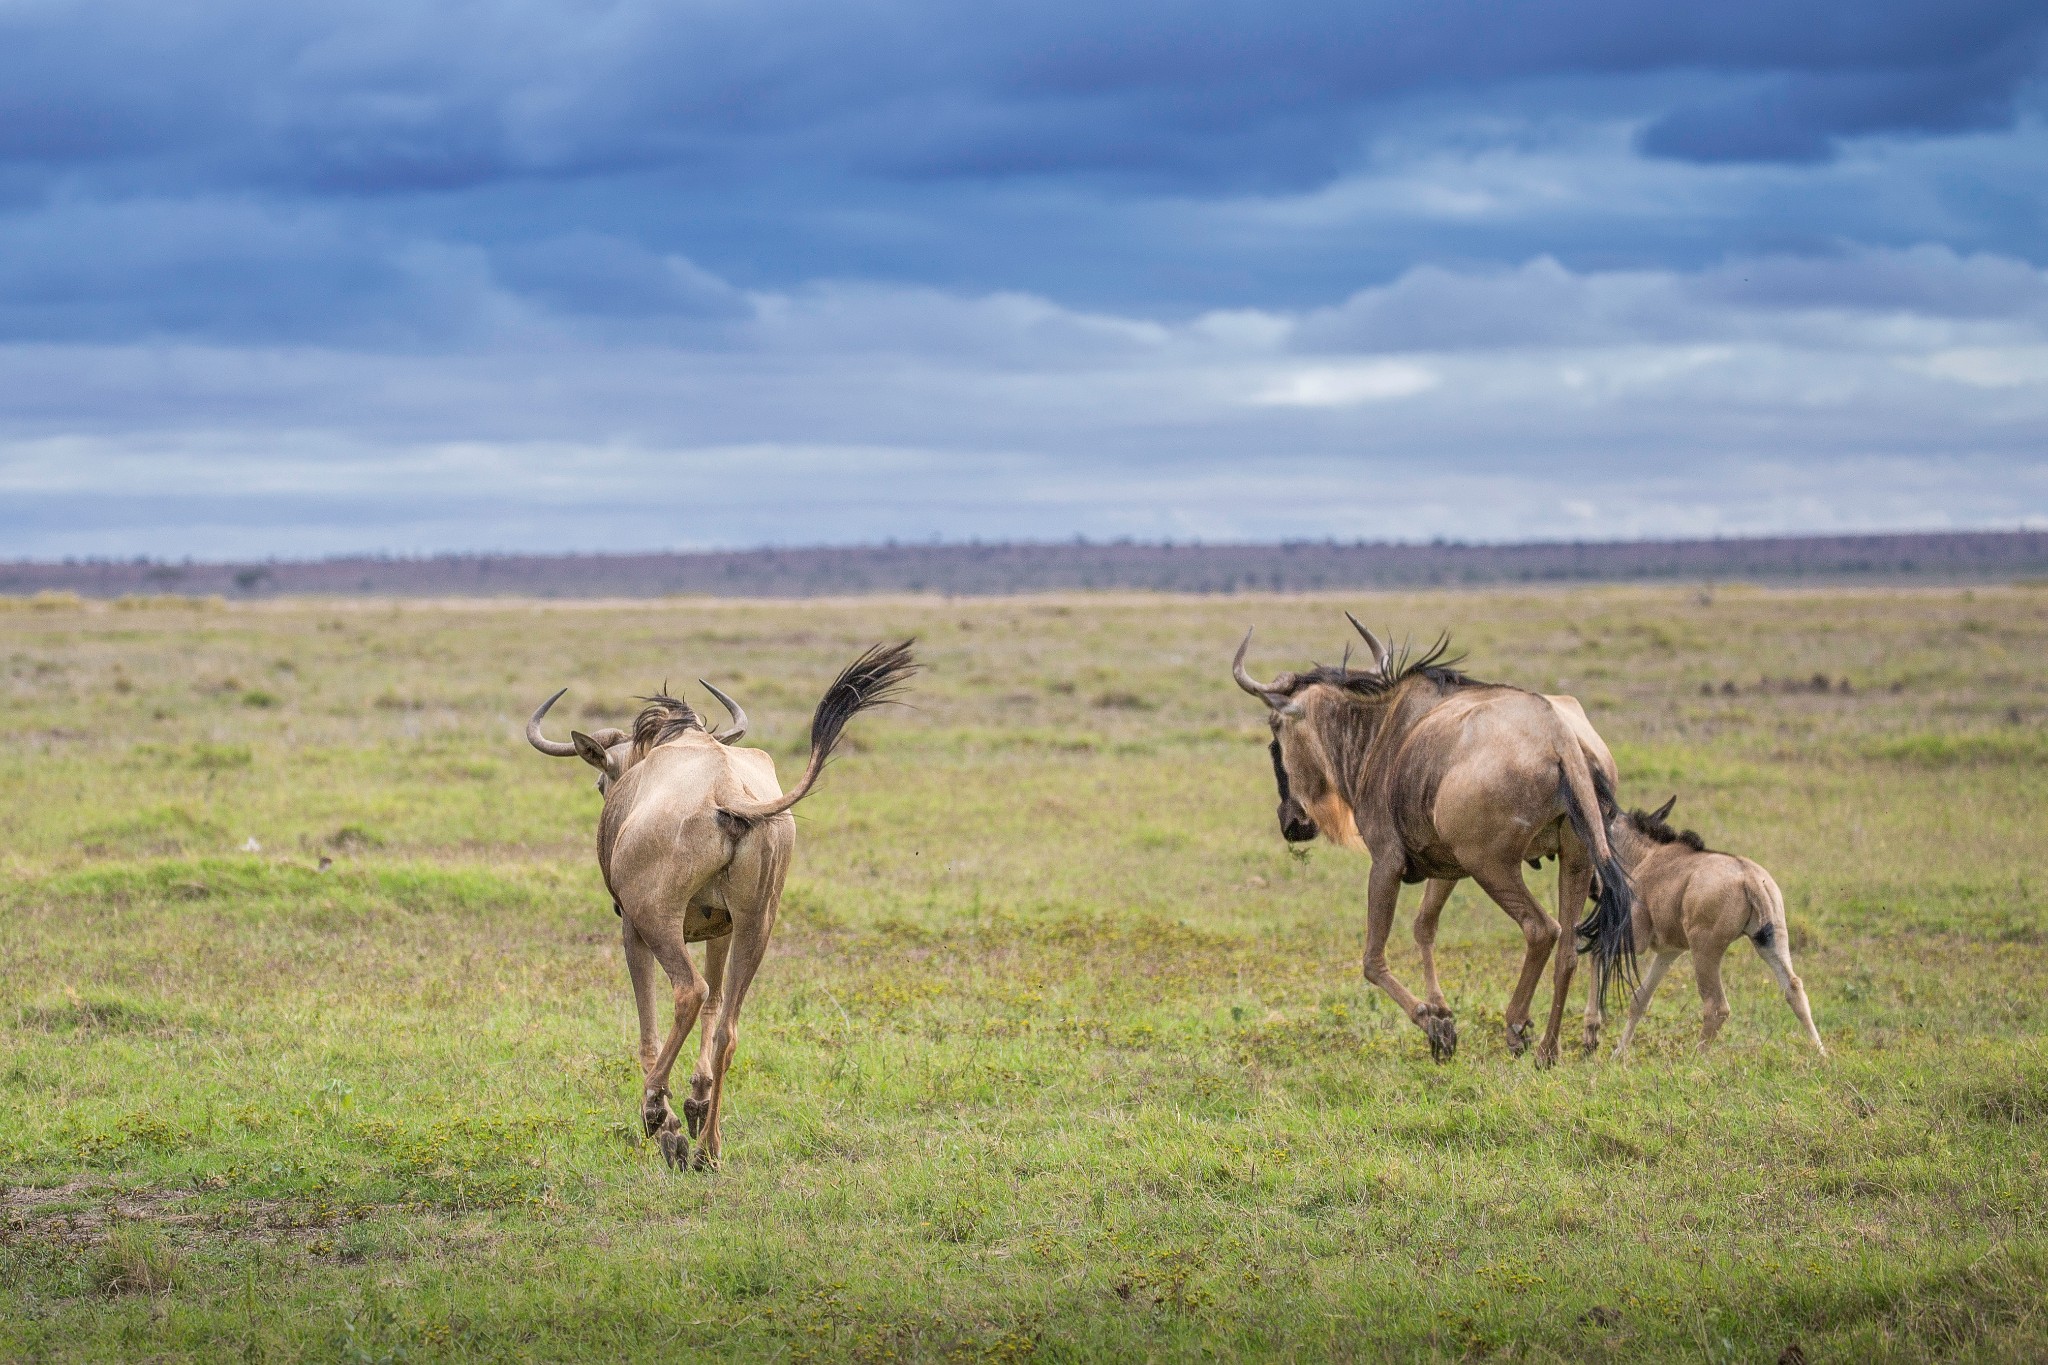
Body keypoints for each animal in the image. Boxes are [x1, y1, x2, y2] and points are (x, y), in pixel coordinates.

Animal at [1581, 794, 1826, 1064]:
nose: (1592, 888)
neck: (1648, 855)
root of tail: (1750, 878)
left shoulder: (1638, 940)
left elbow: (1595, 954)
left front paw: (1591, 1035)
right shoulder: (1669, 952)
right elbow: (1640, 1000)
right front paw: (1617, 1053)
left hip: (1704, 950)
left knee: (1716, 1006)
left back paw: (1694, 1060)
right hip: (1770, 942)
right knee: (1794, 989)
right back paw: (1822, 1054)